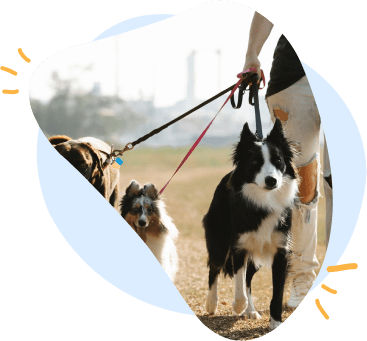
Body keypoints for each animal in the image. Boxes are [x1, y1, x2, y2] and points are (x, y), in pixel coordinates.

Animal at [204, 118, 300, 328]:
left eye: (278, 161)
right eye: (255, 162)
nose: (271, 181)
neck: (264, 200)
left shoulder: (281, 250)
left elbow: (276, 293)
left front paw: (275, 323)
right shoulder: (239, 246)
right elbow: (238, 282)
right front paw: (238, 305)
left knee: (248, 277)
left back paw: (250, 310)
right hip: (219, 240)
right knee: (214, 269)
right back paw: (212, 304)